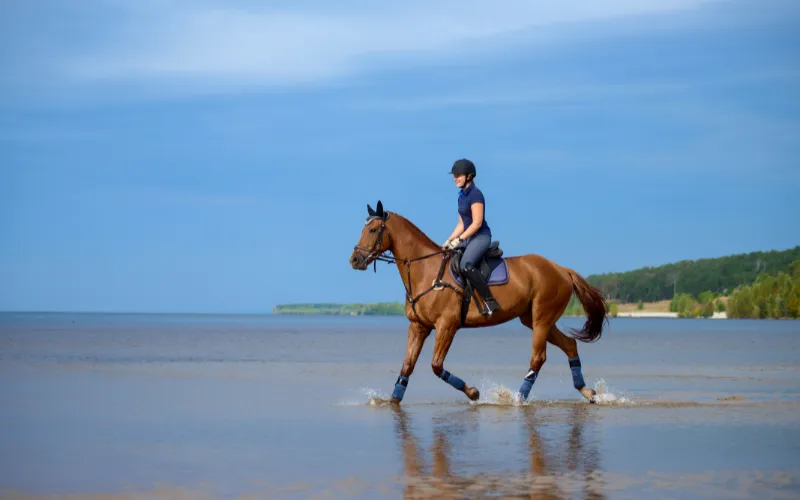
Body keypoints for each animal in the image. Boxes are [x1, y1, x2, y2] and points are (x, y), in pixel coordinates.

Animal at [349, 200, 609, 404]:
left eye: (373, 229)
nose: (354, 260)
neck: (425, 271)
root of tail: (562, 269)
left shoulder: (447, 325)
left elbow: (436, 365)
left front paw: (473, 392)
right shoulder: (418, 326)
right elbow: (407, 366)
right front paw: (393, 400)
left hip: (542, 318)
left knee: (538, 358)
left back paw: (517, 399)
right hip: (534, 319)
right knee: (569, 345)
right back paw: (588, 392)